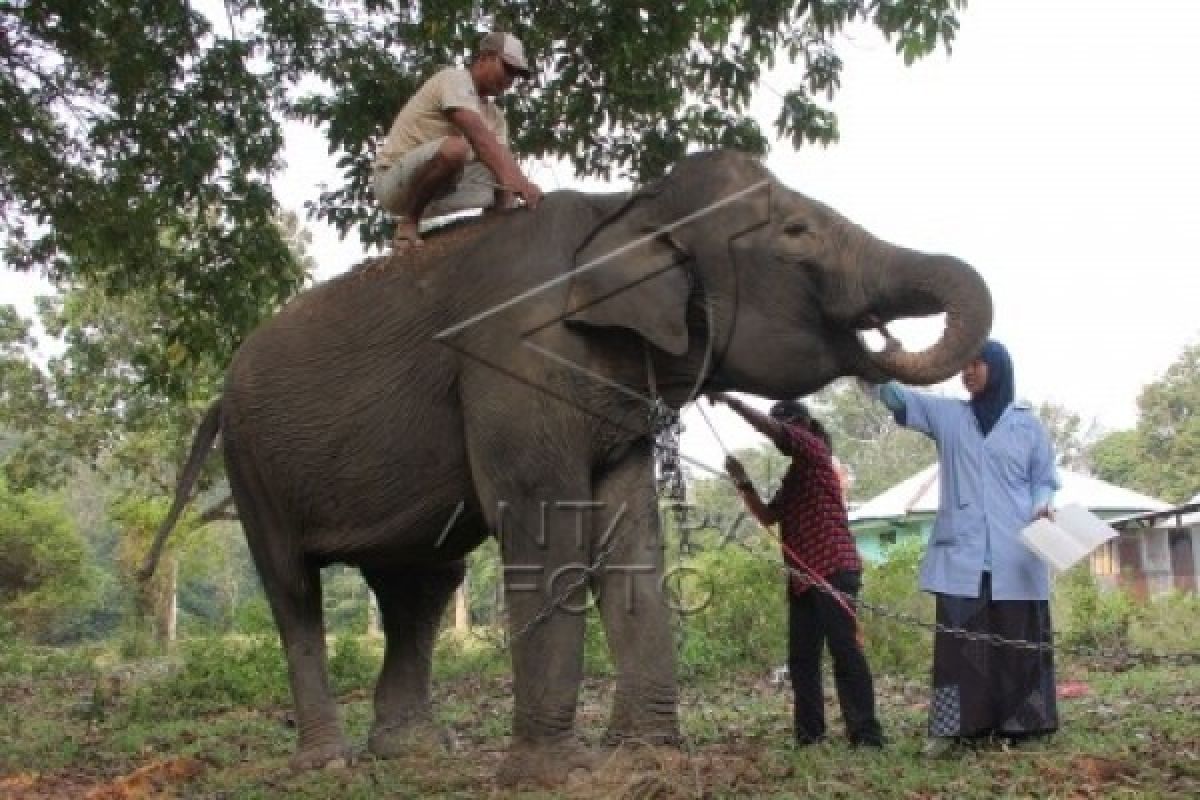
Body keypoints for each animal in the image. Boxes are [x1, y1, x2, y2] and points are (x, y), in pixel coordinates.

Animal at [147, 148, 993, 782]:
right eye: (795, 230)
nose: (882, 342)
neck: (625, 208)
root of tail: (218, 396)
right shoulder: (512, 364)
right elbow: (546, 533)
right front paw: (551, 775)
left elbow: (630, 538)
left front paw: (646, 755)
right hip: (252, 464)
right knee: (295, 590)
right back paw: (329, 763)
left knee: (420, 588)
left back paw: (411, 752)